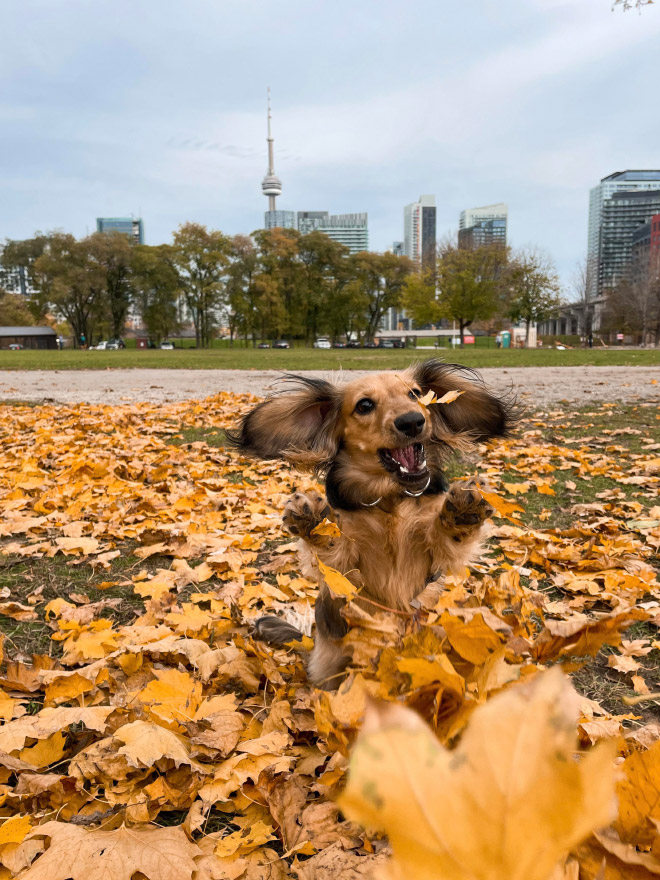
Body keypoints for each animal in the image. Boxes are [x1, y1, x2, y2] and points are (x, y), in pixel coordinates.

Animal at [228, 358, 516, 688]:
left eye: (415, 394)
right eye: (364, 405)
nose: (412, 421)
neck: (389, 503)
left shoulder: (436, 556)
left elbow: (445, 536)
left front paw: (463, 509)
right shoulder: (345, 566)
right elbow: (334, 546)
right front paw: (314, 520)